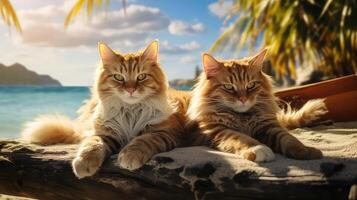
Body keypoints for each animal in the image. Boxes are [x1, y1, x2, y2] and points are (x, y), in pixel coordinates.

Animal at [21, 40, 186, 178]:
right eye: (118, 77)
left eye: (141, 77)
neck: (130, 111)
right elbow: (92, 144)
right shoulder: (105, 133)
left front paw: (130, 156)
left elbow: (142, 140)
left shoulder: (165, 133)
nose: (130, 90)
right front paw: (84, 163)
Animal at [188, 48, 326, 162]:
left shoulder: (269, 126)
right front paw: (258, 148)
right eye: (228, 87)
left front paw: (305, 150)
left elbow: (289, 139)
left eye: (251, 85)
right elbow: (240, 138)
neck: (242, 117)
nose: (243, 99)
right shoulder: (217, 129)